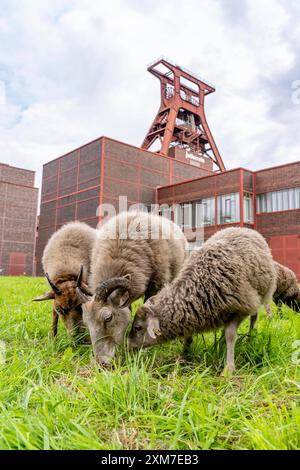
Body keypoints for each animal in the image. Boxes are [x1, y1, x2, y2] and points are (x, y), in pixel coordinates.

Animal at [127, 228, 276, 374]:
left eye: (138, 327)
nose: (128, 346)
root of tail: (244, 229)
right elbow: (188, 336)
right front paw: (184, 356)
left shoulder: (239, 309)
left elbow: (230, 335)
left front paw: (229, 369)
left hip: (260, 295)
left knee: (254, 318)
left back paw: (249, 339)